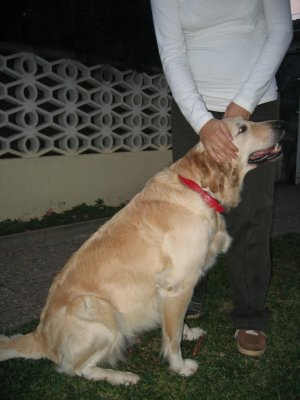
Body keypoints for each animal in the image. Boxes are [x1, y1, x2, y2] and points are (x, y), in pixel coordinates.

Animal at [0, 118, 284, 384]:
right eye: (242, 129)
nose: (280, 124)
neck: (198, 189)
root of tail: (41, 337)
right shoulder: (177, 286)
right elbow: (172, 338)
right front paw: (180, 366)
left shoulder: (174, 290)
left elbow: (178, 324)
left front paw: (189, 332)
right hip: (101, 314)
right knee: (76, 369)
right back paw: (122, 377)